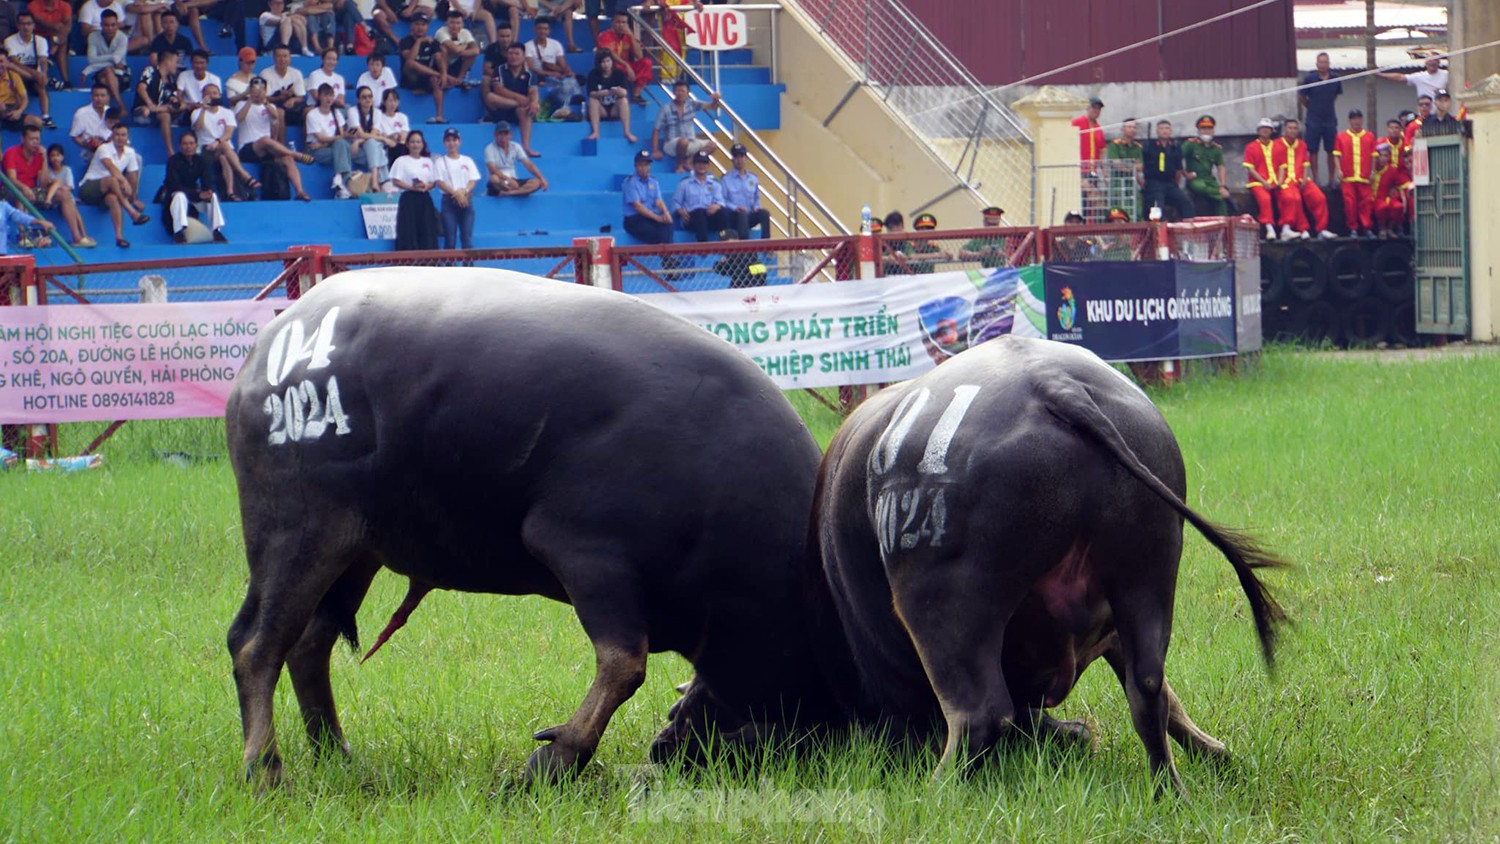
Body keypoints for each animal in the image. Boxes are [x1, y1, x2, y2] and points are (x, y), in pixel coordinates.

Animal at [223, 266, 840, 785]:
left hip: (356, 550)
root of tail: (265, 352)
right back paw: (264, 768)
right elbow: (625, 663)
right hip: (296, 531)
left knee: (308, 643)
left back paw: (336, 751)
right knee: (255, 643)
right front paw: (555, 759)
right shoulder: (591, 557)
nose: (667, 749)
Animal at [810, 335, 1290, 791]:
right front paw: (1221, 754)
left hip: (942, 600)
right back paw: (1169, 791)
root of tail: (1053, 383)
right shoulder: (1112, 630)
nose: (1078, 734)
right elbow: (1169, 701)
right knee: (1148, 689)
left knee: (980, 714)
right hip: (1147, 571)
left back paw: (934, 793)